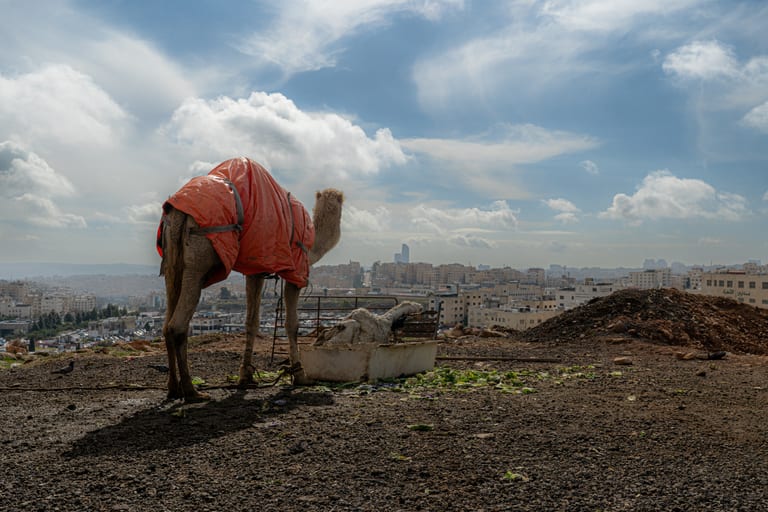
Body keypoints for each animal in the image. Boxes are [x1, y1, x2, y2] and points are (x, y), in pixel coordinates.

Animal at [158, 157, 343, 400]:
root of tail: (179, 211)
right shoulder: (296, 270)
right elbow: (292, 324)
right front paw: (300, 375)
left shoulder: (256, 269)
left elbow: (251, 322)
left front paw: (246, 377)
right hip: (200, 254)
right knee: (177, 325)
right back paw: (192, 391)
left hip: (172, 258)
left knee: (166, 322)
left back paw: (173, 388)